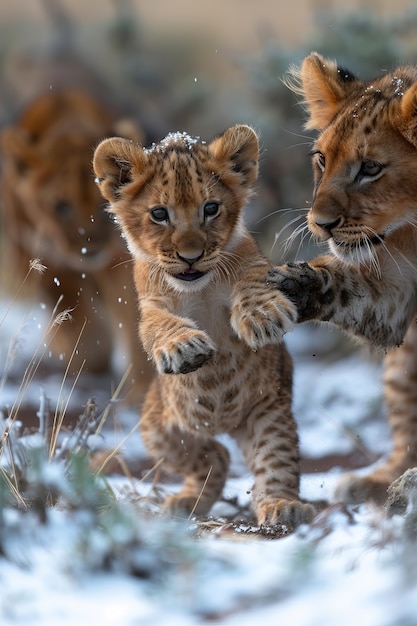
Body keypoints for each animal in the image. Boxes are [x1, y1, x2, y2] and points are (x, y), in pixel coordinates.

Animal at [0, 89, 154, 400]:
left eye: (103, 204)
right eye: (61, 206)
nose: (90, 247)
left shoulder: (118, 257)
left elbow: (132, 311)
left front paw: (143, 385)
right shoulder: (43, 259)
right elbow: (79, 321)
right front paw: (89, 356)